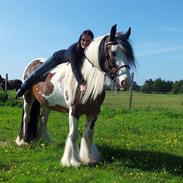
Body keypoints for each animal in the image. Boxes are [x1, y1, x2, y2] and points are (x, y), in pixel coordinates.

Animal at [16, 24, 136, 167]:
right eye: (113, 52)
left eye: (128, 54)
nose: (126, 82)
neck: (86, 81)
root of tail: (33, 64)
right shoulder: (74, 111)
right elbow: (73, 134)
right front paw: (72, 161)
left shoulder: (94, 113)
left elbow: (88, 134)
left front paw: (90, 158)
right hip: (28, 99)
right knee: (26, 117)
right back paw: (23, 141)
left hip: (47, 103)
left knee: (43, 120)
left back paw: (46, 141)